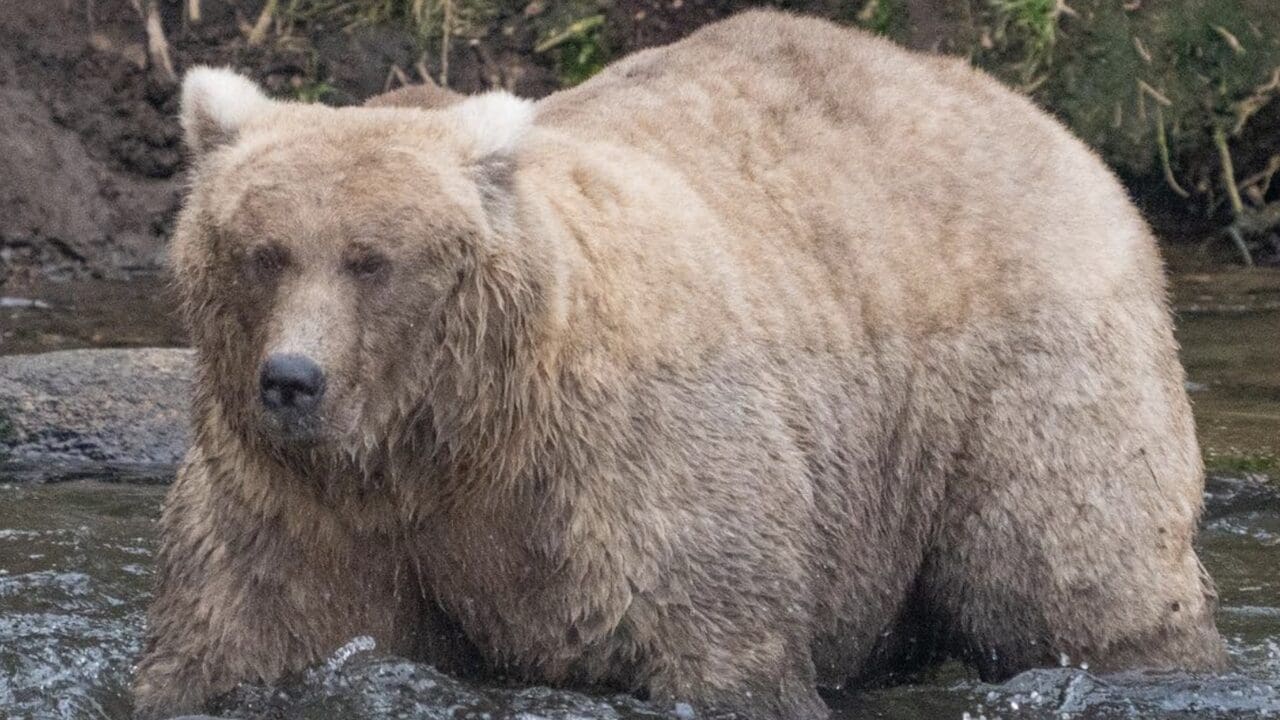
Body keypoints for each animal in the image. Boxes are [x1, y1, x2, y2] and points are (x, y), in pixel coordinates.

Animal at [133, 10, 1227, 719]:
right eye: (263, 251)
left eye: (372, 260)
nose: (291, 380)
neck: (449, 437)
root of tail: (1032, 113)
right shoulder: (299, 505)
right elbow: (240, 635)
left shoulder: (624, 471)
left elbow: (715, 638)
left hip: (1023, 365)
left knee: (1069, 568)